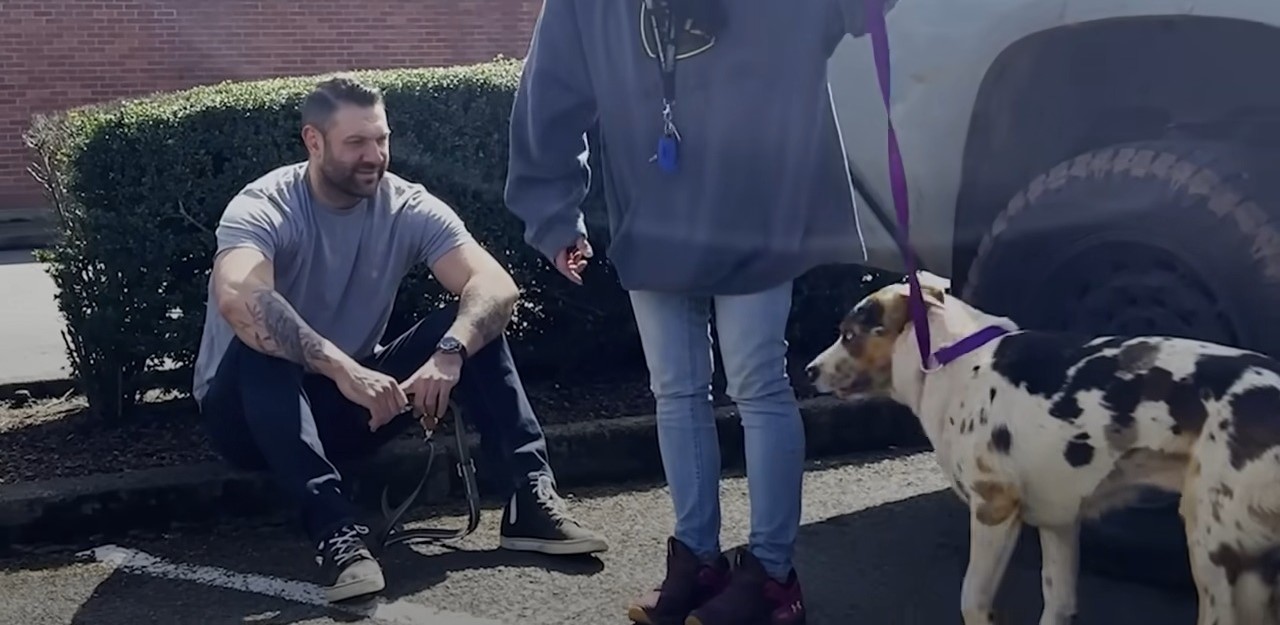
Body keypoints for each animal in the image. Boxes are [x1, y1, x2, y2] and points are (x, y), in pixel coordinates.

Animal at [808, 274, 1280, 625]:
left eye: (848, 335)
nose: (808, 370)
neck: (952, 358)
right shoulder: (1059, 523)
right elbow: (1057, 601)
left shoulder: (993, 508)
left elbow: (972, 599)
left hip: (1214, 550)